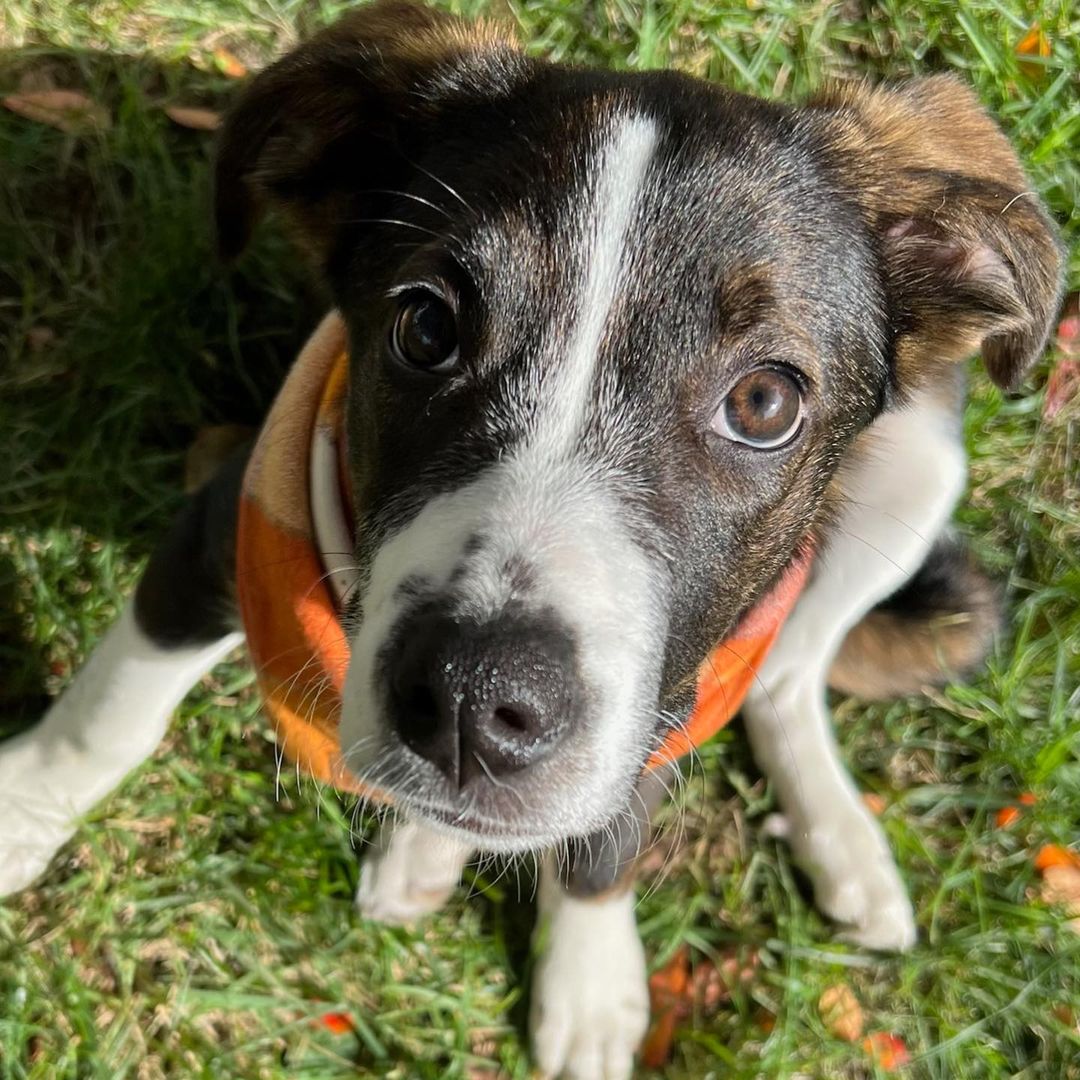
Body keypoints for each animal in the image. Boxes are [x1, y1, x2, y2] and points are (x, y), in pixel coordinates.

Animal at [0, 4, 1062, 1075]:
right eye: (424, 327)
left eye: (764, 403)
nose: (471, 702)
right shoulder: (222, 522)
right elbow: (112, 713)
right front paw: (24, 807)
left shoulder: (669, 698)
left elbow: (612, 829)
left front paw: (588, 975)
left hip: (923, 458)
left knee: (785, 673)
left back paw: (842, 844)